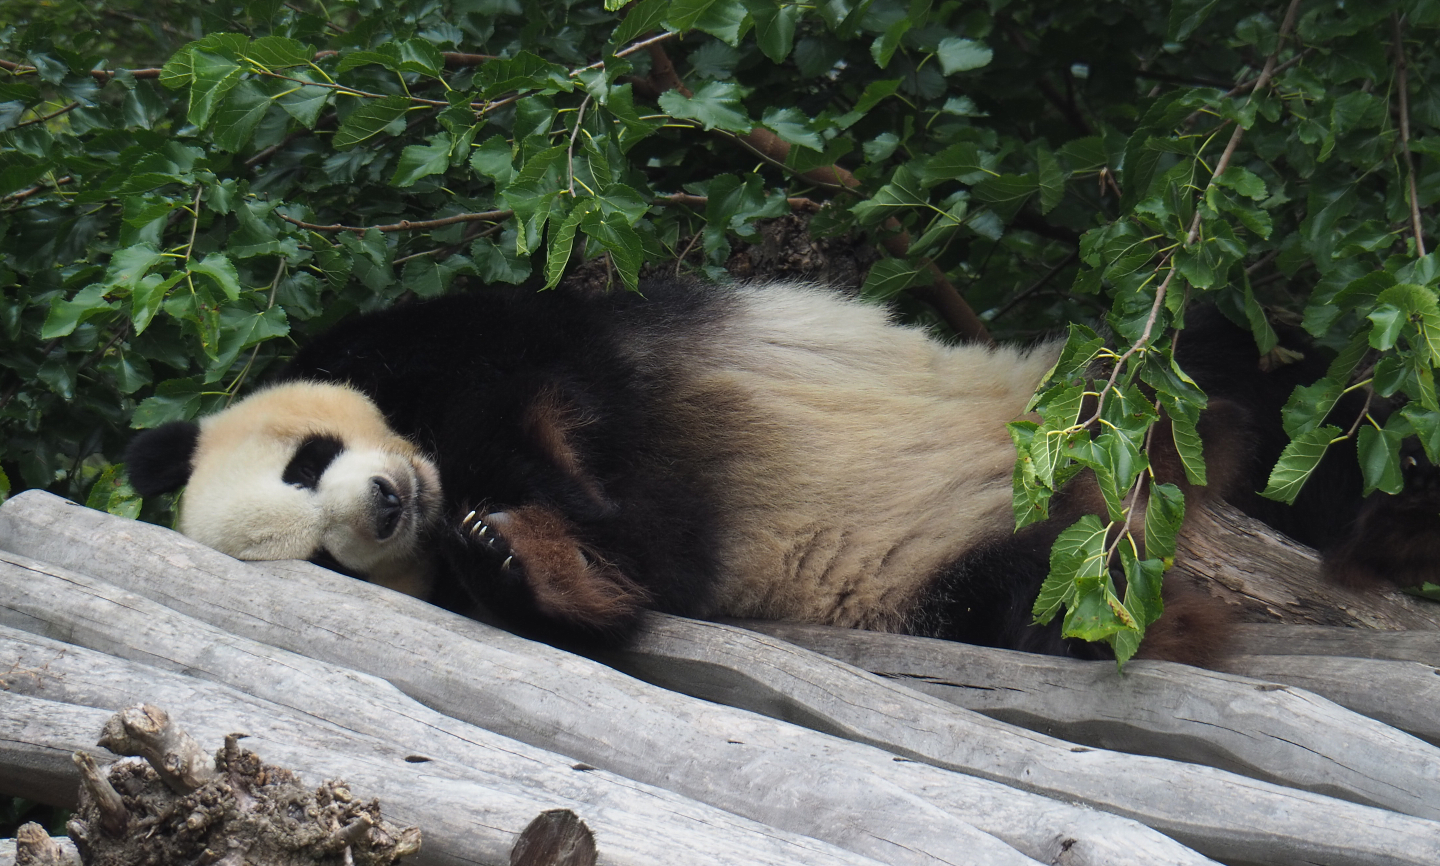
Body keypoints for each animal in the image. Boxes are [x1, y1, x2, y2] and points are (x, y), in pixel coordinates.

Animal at [122, 279, 1396, 664]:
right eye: (331, 562)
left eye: (310, 461)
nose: (391, 504)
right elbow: (636, 575)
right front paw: (521, 561)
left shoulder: (458, 342)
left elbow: (534, 398)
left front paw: (532, 511)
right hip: (953, 569)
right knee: (1027, 597)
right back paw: (1128, 607)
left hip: (1097, 394)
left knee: (1268, 385)